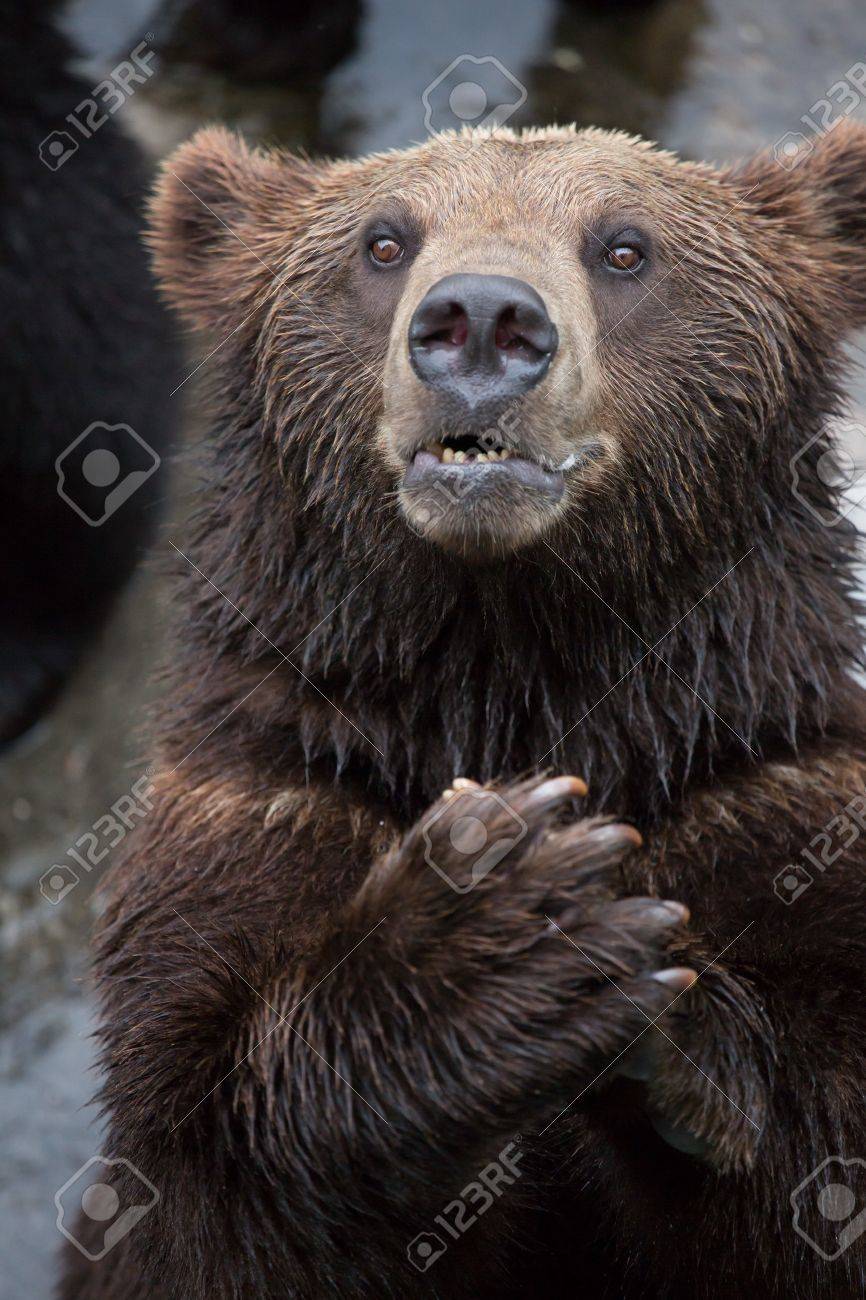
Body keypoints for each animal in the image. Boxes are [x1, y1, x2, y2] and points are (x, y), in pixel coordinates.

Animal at [59, 120, 866, 1298]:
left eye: (624, 247)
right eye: (385, 240)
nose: (481, 319)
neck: (508, 671)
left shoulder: (770, 797)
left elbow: (820, 1171)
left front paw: (650, 993)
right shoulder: (271, 802)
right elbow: (206, 1196)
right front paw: (498, 924)